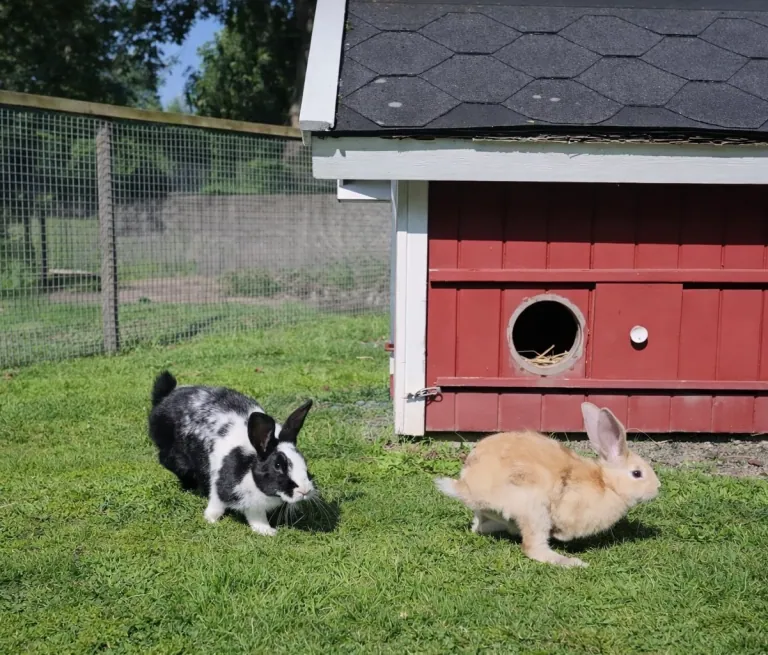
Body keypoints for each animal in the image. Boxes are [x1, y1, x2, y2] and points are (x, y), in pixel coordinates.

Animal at [148, 370, 315, 536]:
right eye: (278, 465)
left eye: (304, 462)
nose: (305, 491)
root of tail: (166, 396)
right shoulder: (219, 488)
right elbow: (216, 506)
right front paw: (210, 520)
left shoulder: (254, 505)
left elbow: (257, 518)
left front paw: (267, 531)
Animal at [435, 402, 660, 568]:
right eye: (637, 473)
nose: (657, 488)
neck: (606, 483)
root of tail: (466, 486)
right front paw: (562, 536)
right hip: (534, 510)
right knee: (532, 548)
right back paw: (572, 562)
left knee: (479, 527)